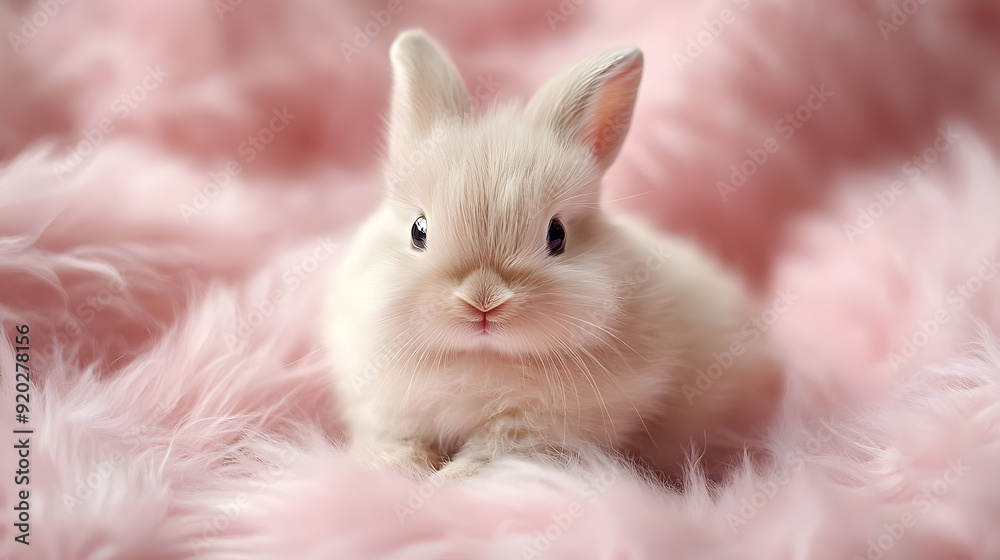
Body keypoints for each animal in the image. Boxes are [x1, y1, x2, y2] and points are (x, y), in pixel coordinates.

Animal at [325, 29, 781, 480]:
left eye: (557, 235)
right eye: (418, 231)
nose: (483, 303)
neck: (481, 357)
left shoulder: (532, 433)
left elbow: (489, 460)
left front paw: (447, 481)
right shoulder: (390, 412)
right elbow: (399, 445)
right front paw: (396, 472)